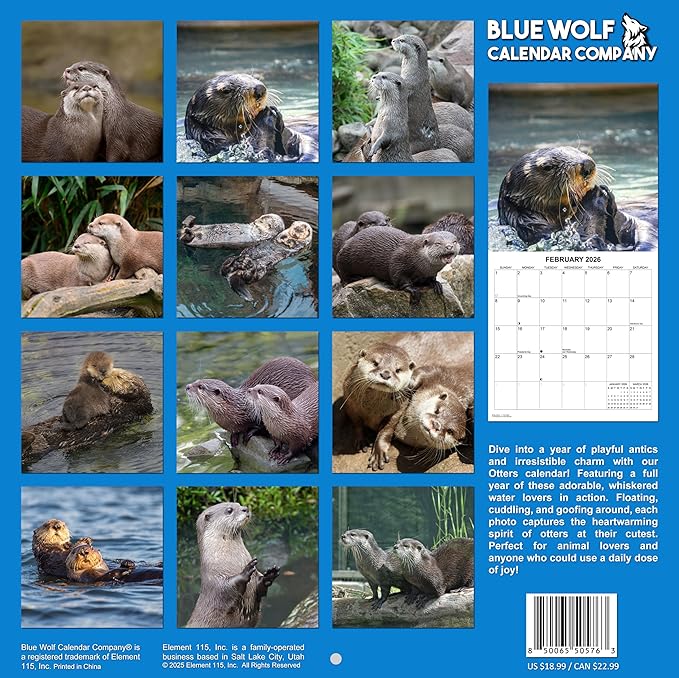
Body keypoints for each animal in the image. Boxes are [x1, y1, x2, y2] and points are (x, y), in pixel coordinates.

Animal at [185, 356, 316, 447]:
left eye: (200, 387)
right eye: (196, 381)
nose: (187, 386)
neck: (238, 408)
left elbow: (262, 428)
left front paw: (248, 434)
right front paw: (234, 437)